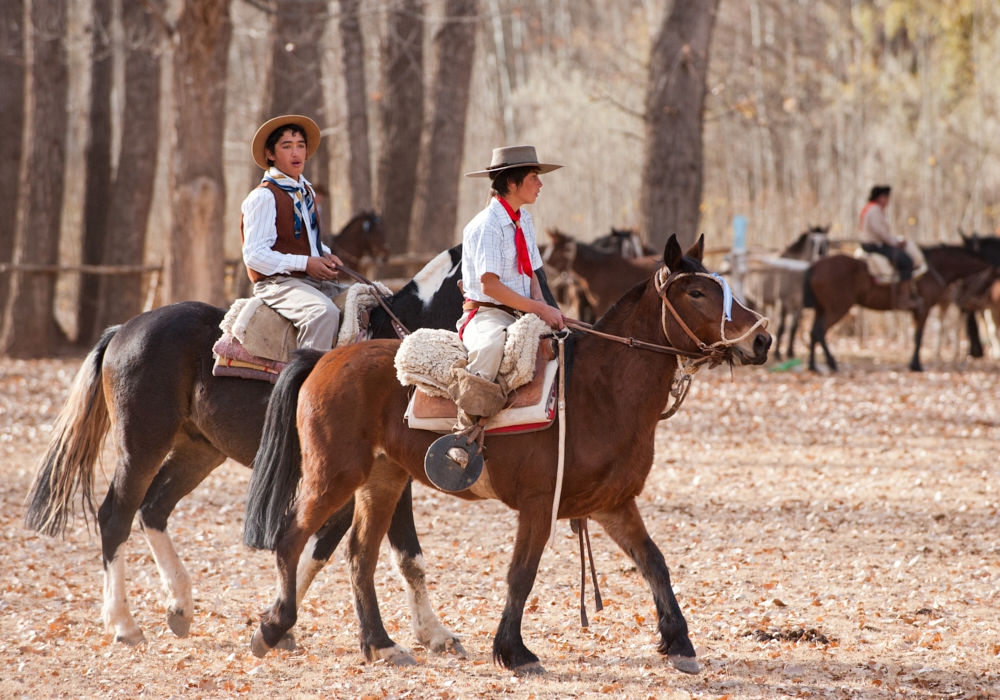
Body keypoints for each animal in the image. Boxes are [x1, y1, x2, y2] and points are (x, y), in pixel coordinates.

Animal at [29, 246, 564, 652]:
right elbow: (402, 555)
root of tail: (125, 330)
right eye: (530, 274)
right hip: (142, 446)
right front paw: (433, 632)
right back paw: (123, 623)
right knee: (116, 515)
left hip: (198, 451)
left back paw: (179, 606)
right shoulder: (390, 478)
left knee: (154, 510)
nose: (559, 330)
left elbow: (325, 547)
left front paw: (281, 623)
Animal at [244, 234, 772, 672]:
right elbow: (522, 573)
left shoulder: (612, 504)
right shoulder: (539, 505)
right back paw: (274, 627)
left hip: (383, 479)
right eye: (696, 292)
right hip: (334, 475)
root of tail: (326, 358)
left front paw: (679, 642)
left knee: (360, 555)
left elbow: (653, 562)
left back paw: (381, 644)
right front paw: (514, 651)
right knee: (292, 538)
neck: (596, 392)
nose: (761, 338)